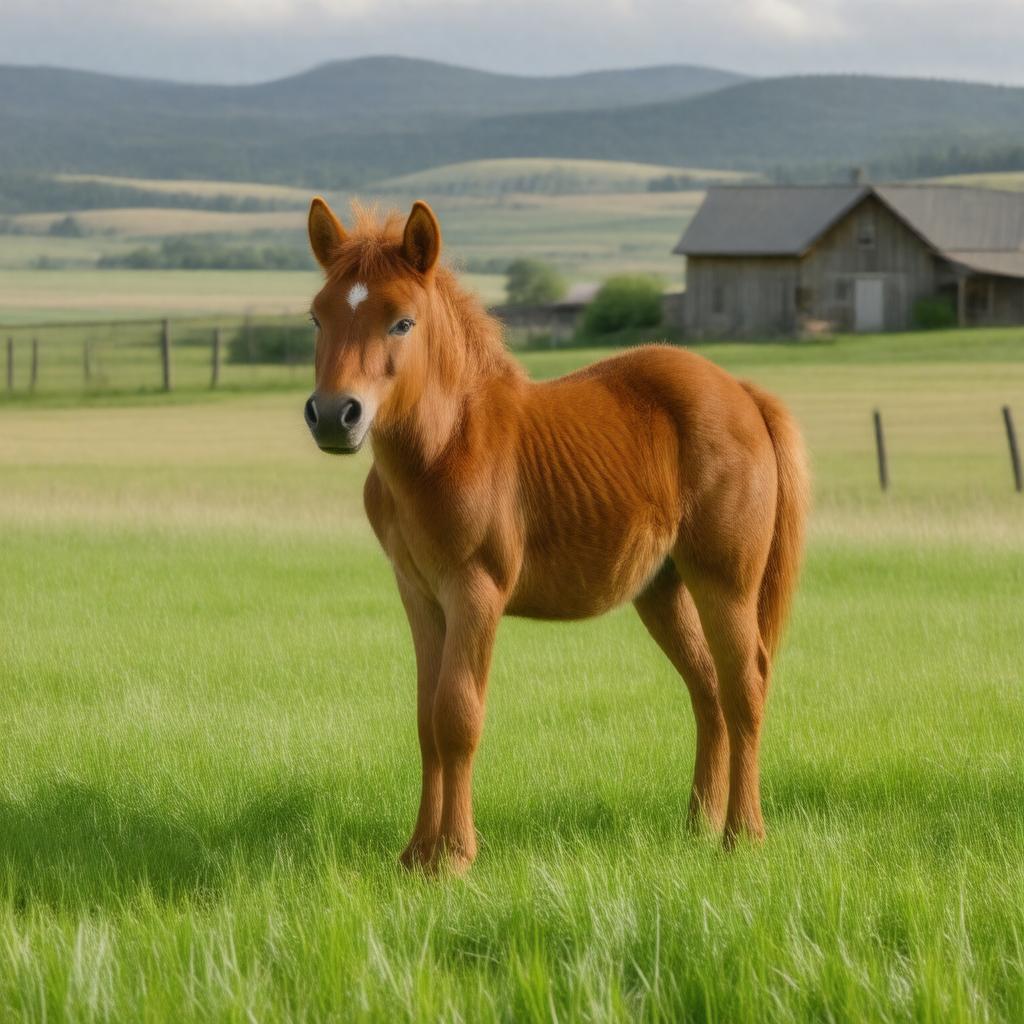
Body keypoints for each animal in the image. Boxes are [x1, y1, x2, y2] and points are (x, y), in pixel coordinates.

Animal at [303, 197, 809, 874]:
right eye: (317, 317)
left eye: (403, 322)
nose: (336, 416)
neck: (446, 447)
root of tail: (745, 395)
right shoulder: (419, 594)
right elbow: (425, 719)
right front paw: (416, 856)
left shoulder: (476, 591)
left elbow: (457, 716)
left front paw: (455, 857)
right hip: (663, 590)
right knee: (707, 690)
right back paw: (697, 827)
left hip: (724, 580)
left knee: (744, 685)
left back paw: (742, 836)